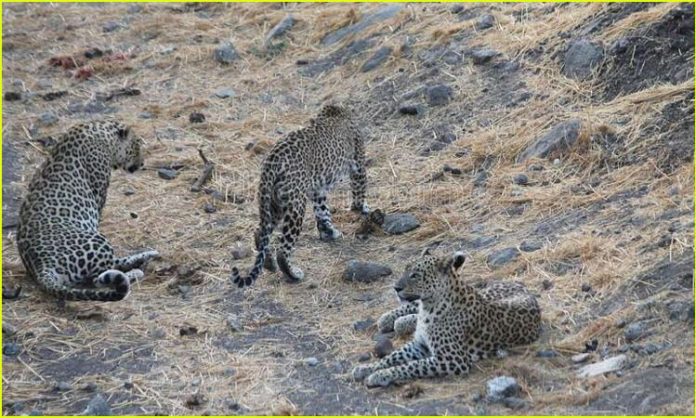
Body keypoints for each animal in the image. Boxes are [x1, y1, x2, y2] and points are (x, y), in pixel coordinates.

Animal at [16, 119, 159, 302]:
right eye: (136, 145)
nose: (142, 164)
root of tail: (41, 266)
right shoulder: (99, 196)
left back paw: (148, 255)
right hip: (97, 241)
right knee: (99, 278)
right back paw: (136, 270)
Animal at [231, 104, 370, 288]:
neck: (334, 112)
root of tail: (271, 162)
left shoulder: (317, 190)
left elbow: (322, 212)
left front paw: (329, 232)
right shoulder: (358, 164)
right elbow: (359, 190)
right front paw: (362, 208)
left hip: (274, 203)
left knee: (260, 232)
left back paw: (269, 264)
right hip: (295, 205)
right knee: (283, 250)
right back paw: (293, 274)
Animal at [350, 248, 540, 388]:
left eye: (415, 275)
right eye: (405, 270)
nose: (396, 288)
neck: (430, 308)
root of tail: (522, 287)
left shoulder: (452, 359)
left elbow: (409, 366)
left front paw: (379, 375)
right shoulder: (419, 345)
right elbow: (392, 357)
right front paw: (365, 369)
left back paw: (398, 322)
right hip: (488, 293)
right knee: (412, 308)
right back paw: (390, 319)